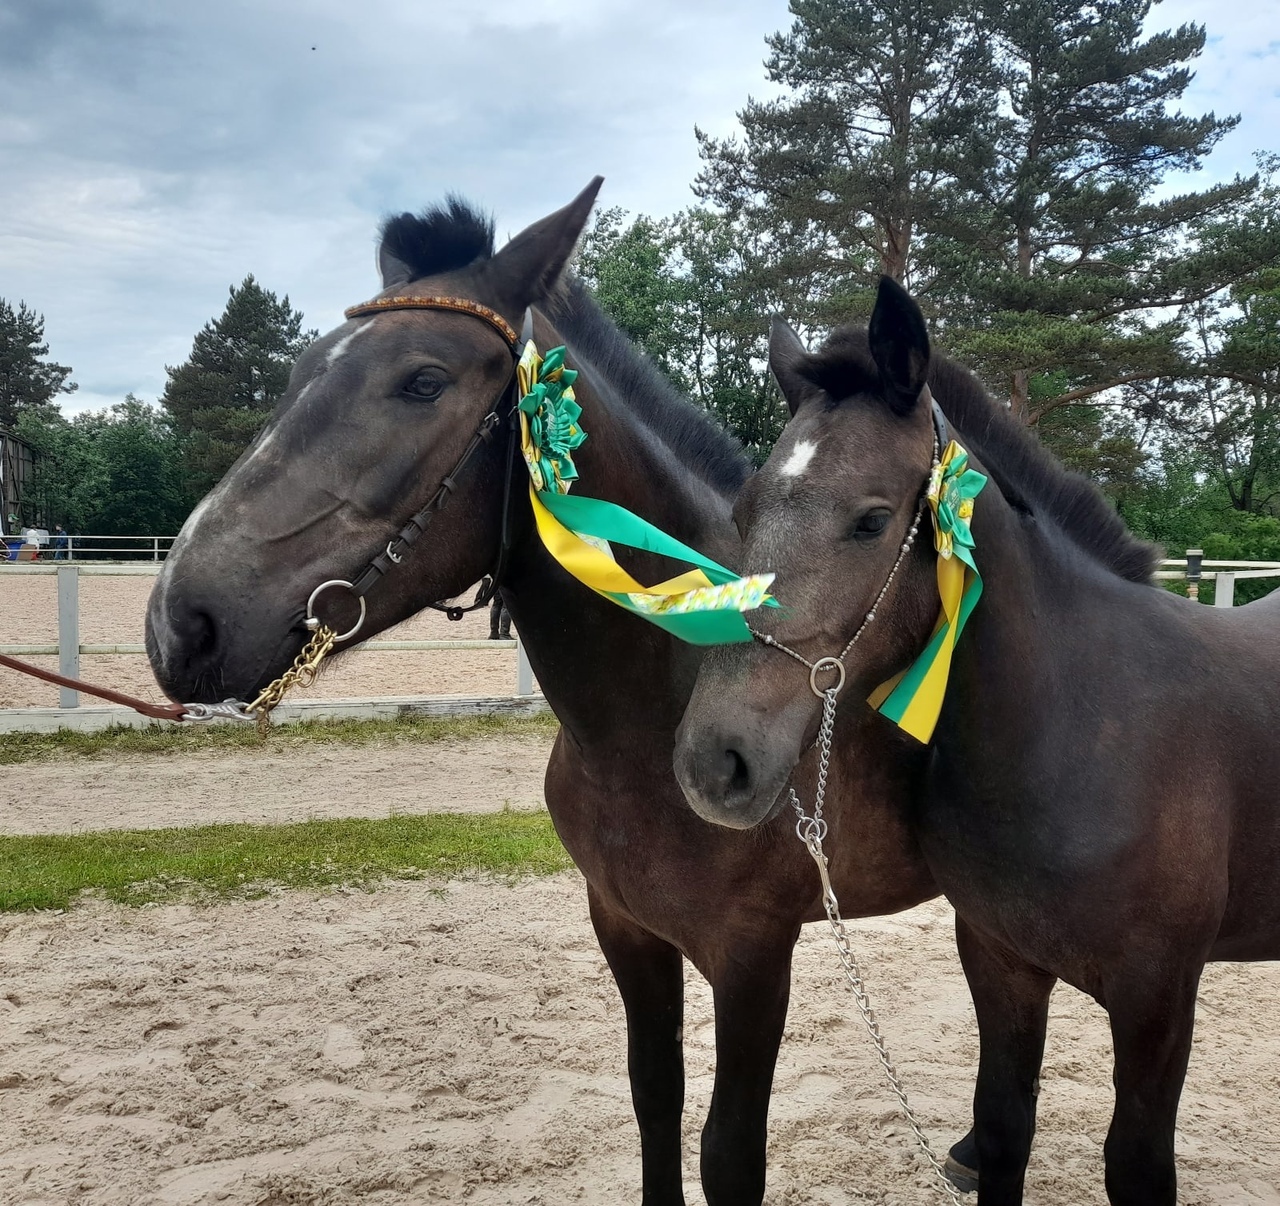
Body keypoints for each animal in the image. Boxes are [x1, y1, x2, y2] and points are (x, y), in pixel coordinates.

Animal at [145, 184, 947, 1203]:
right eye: (298, 371)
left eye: (423, 381)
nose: (180, 622)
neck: (657, 722)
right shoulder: (627, 929)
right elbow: (654, 1100)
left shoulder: (756, 959)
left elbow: (729, 1154)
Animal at [670, 276, 1280, 1206]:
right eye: (743, 510)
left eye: (871, 521)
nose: (715, 763)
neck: (1084, 728)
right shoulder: (1000, 960)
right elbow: (1002, 1131)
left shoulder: (1159, 1000)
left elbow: (1136, 1167)